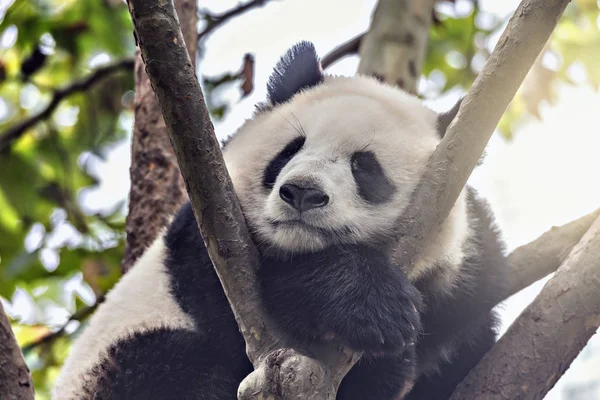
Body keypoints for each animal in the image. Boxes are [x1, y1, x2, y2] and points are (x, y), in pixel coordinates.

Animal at [55, 42, 506, 398]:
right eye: (291, 149)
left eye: (365, 166)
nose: (302, 192)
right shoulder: (208, 226)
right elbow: (237, 300)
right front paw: (370, 307)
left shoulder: (464, 283)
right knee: (167, 367)